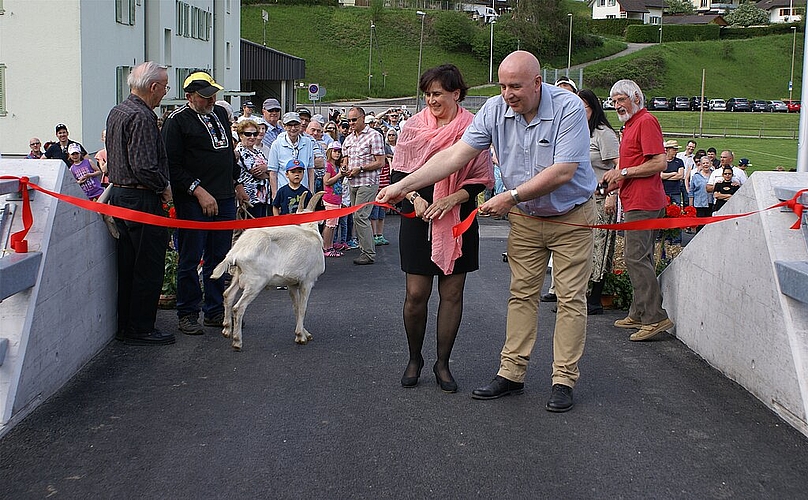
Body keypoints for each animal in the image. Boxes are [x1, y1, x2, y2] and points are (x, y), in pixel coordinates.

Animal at [211, 193, 326, 350]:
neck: (310, 232)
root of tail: (236, 252)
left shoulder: (291, 283)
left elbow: (296, 308)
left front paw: (304, 333)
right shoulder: (307, 282)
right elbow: (303, 308)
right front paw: (301, 337)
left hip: (238, 275)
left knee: (228, 295)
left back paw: (227, 330)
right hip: (256, 282)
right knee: (238, 307)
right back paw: (237, 341)